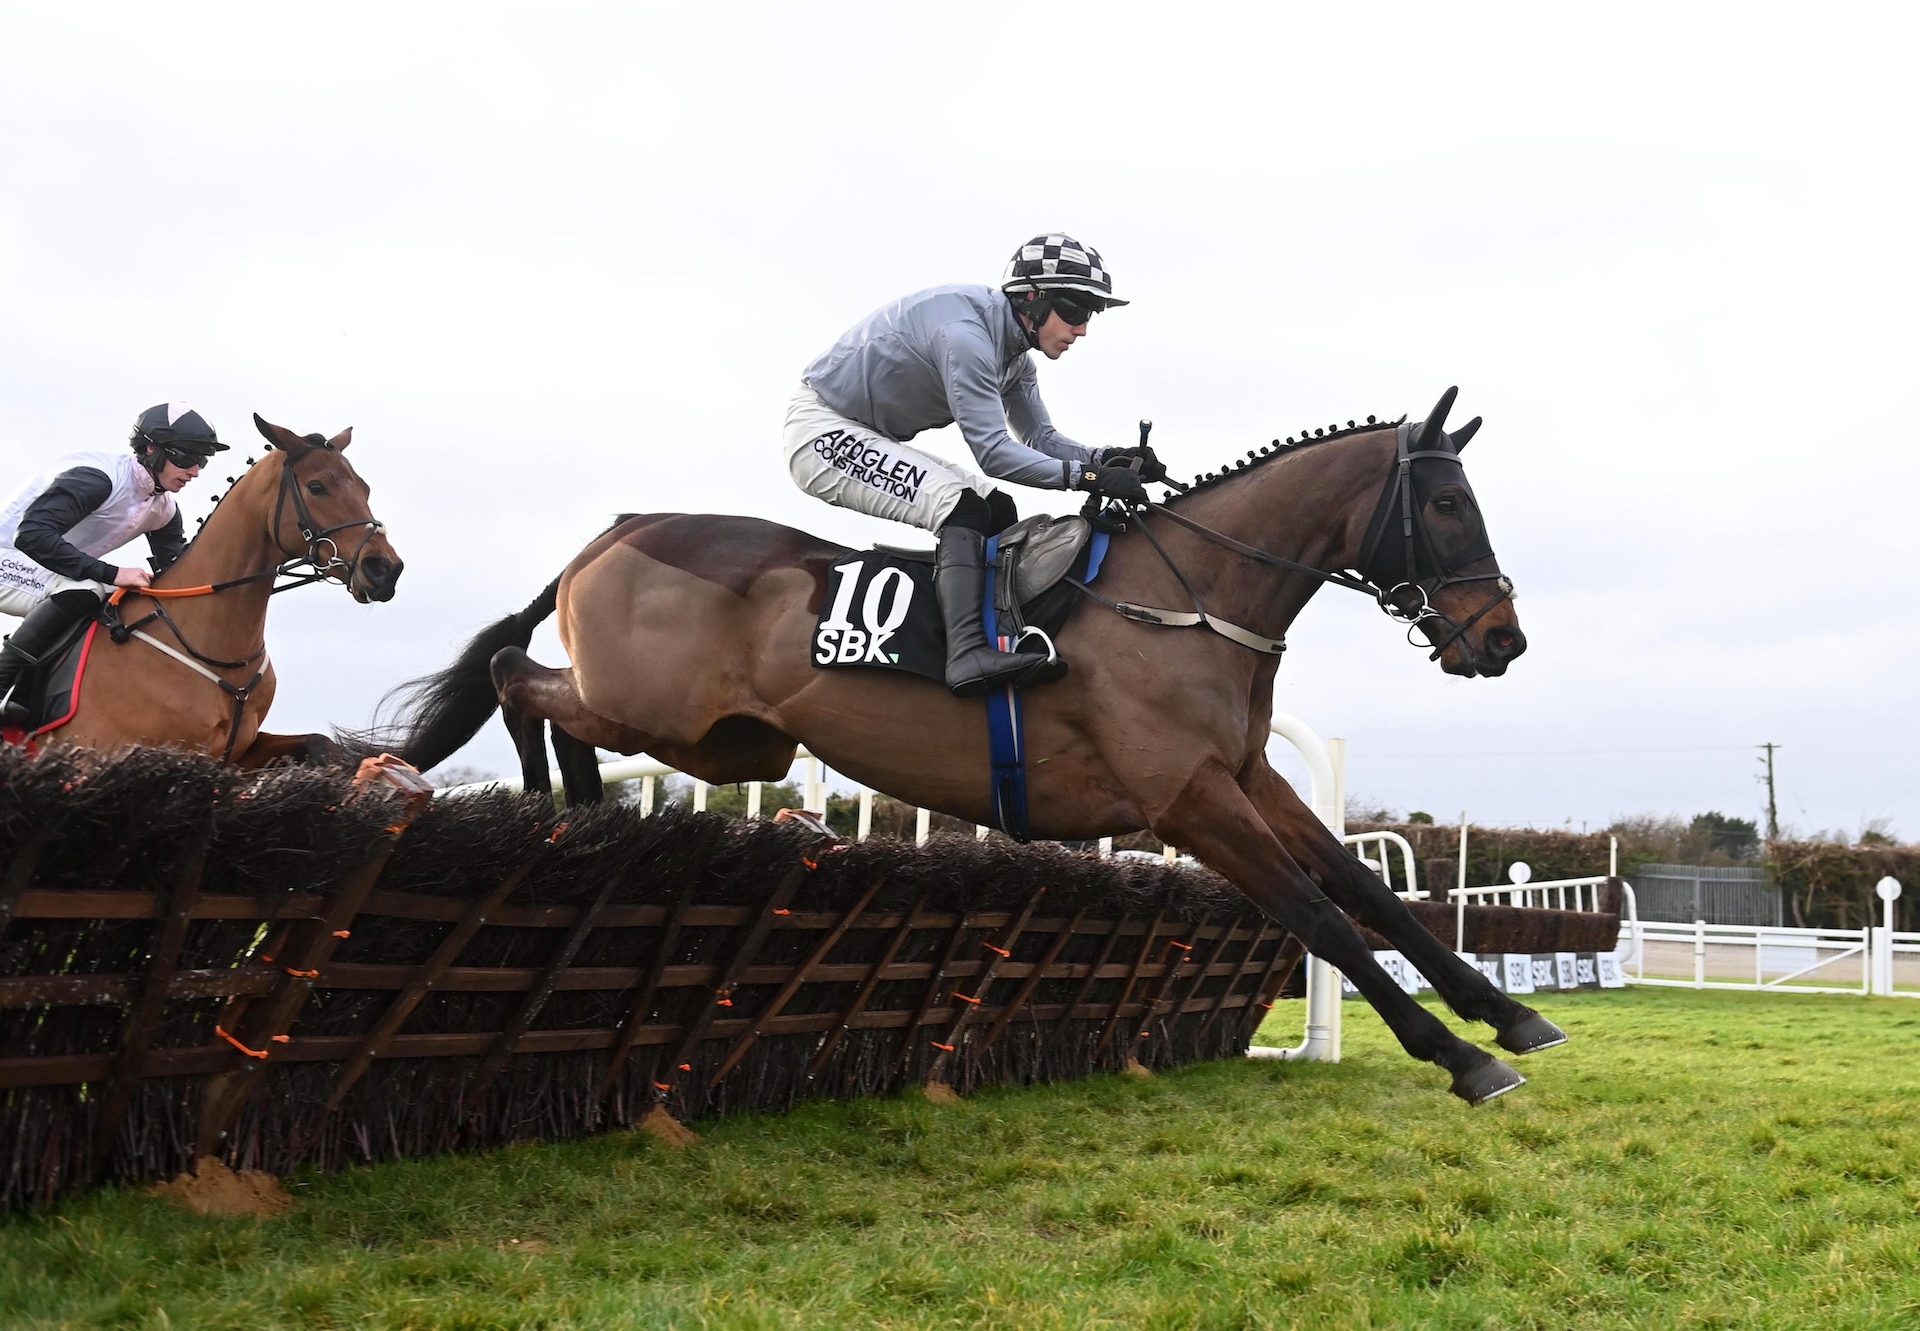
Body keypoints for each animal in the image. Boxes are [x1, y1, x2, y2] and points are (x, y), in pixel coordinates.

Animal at [370, 386, 1559, 1098]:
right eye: (1447, 505)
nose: (1502, 637)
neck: (1193, 600)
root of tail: (611, 532)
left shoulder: (1247, 775)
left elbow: (1370, 894)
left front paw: (1507, 1015)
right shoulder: (1188, 799)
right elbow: (1318, 913)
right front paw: (1460, 1056)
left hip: (730, 745)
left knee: (536, 691)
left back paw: (585, 824)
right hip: (653, 711)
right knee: (511, 673)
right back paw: (557, 815)